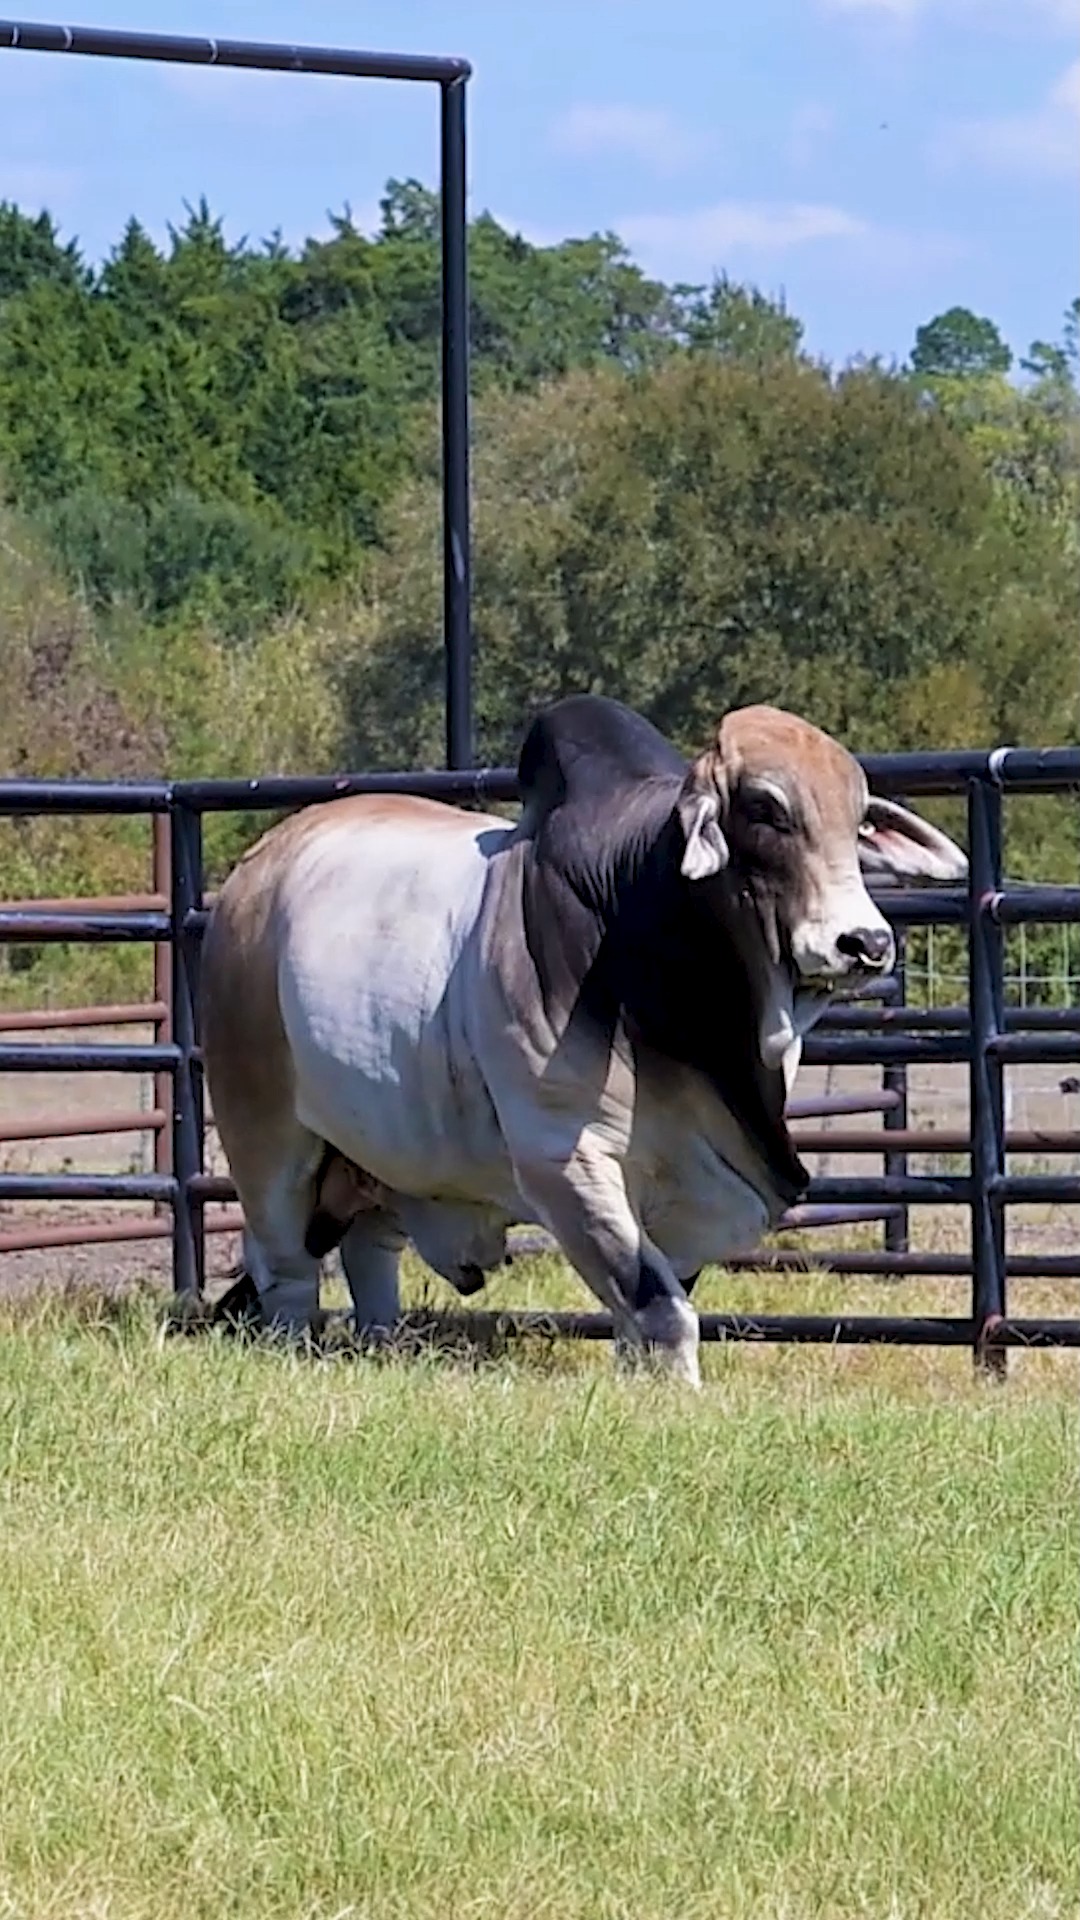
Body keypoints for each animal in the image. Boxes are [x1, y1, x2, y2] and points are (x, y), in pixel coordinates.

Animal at [200, 695, 966, 1386]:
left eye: (859, 818)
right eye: (768, 809)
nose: (864, 943)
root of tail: (252, 876)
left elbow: (648, 1309)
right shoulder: (565, 1161)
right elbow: (659, 1307)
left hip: (380, 1158)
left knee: (368, 1255)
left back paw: (383, 1345)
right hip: (264, 1134)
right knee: (287, 1271)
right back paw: (297, 1349)